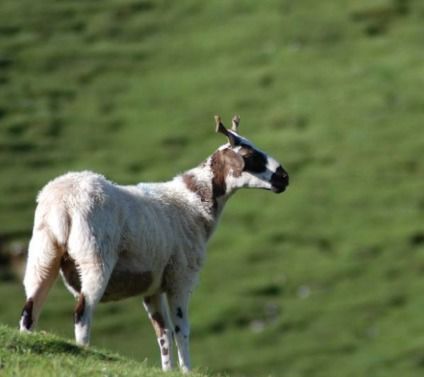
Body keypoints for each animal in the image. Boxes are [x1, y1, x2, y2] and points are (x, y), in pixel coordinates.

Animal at [19, 115, 288, 374]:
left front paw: (168, 369)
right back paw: (85, 352)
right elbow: (181, 329)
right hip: (94, 256)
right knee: (82, 312)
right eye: (249, 156)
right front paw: (187, 370)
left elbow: (163, 333)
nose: (284, 177)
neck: (196, 202)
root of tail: (62, 203)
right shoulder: (181, 278)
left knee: (29, 309)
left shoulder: (153, 286)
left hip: (43, 254)